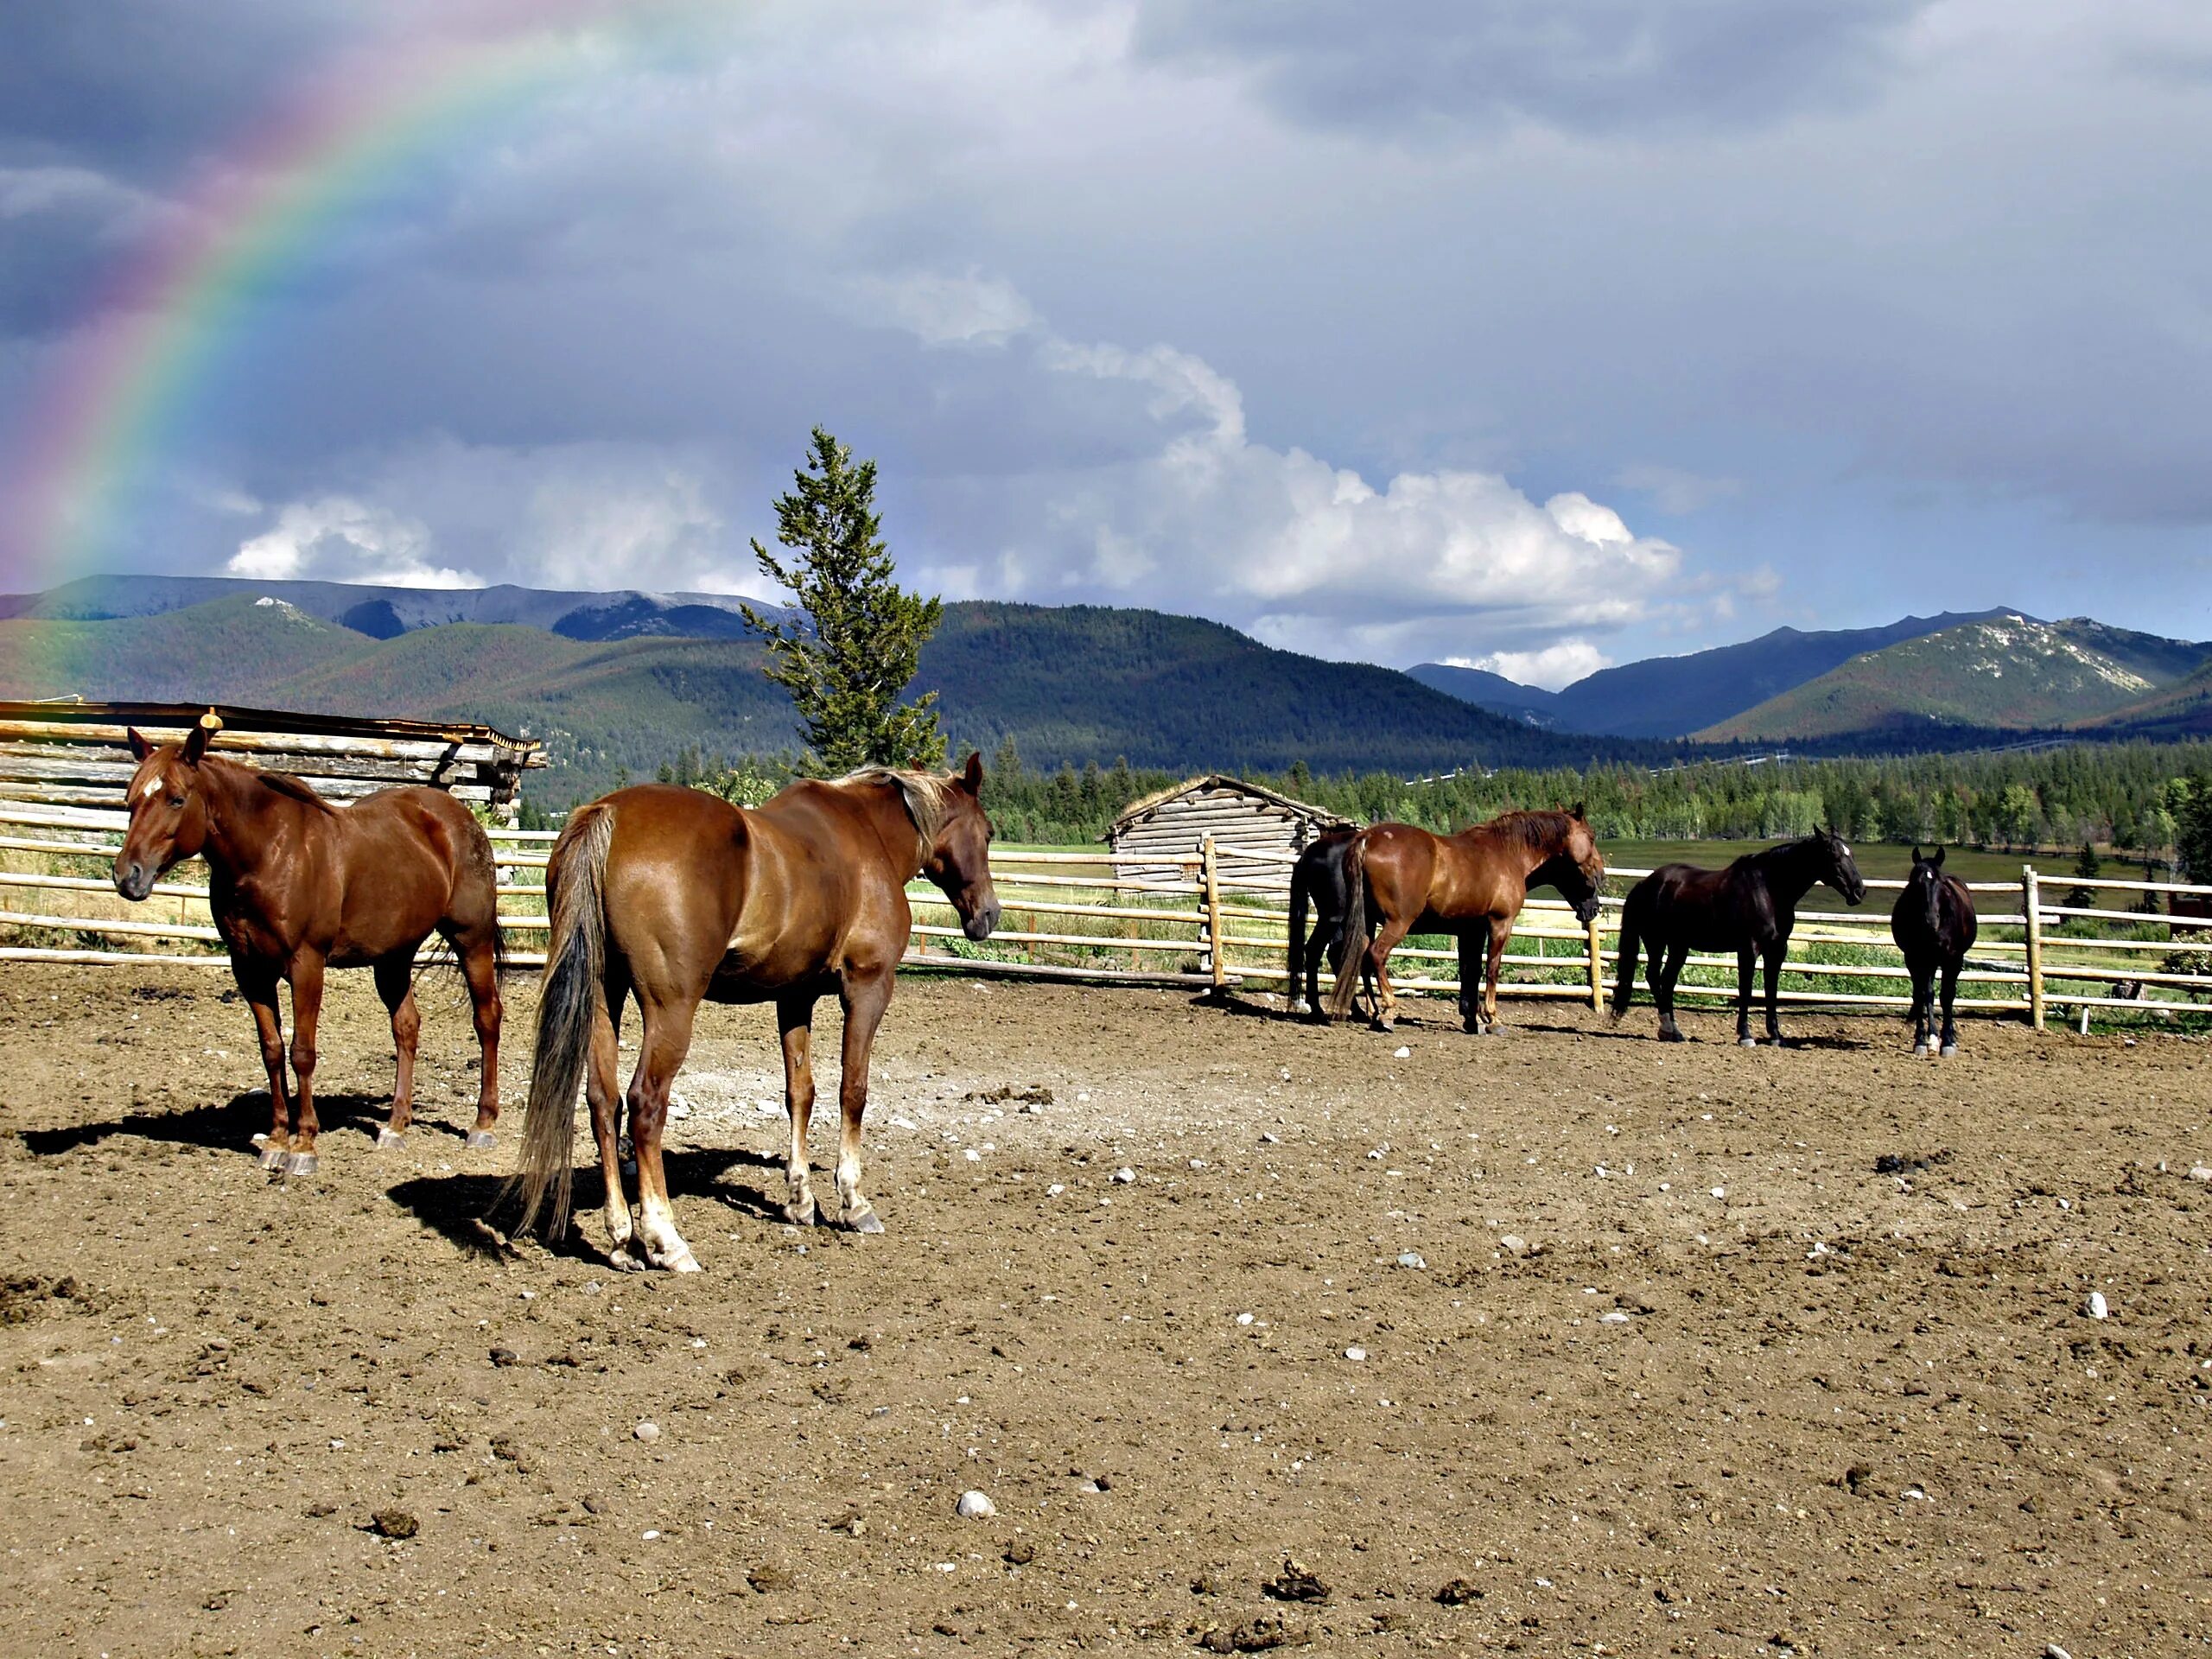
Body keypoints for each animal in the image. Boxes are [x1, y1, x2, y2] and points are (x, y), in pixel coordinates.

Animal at [117, 716, 508, 1185]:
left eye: (176, 799)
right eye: (131, 800)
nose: (128, 876)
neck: (267, 854)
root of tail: (458, 817)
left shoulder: (306, 964)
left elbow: (302, 1052)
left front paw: (304, 1146)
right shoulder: (249, 969)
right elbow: (271, 1050)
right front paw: (275, 1141)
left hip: (472, 940)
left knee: (486, 1019)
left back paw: (483, 1124)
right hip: (394, 956)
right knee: (406, 1027)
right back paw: (395, 1125)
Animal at [1318, 809, 1601, 1035]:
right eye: (1591, 837)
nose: (1595, 906)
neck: (1508, 854)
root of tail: (1367, 839)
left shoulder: (1471, 930)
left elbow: (1470, 971)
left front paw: (1471, 1019)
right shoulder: (1499, 924)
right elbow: (1492, 969)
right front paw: (1492, 1018)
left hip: (1367, 922)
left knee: (1362, 959)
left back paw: (1376, 1013)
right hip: (1397, 922)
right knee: (1376, 955)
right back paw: (1387, 1010)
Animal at [1610, 831, 1866, 1052]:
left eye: (1851, 854)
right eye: (1833, 855)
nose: (1859, 891)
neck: (1769, 890)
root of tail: (1646, 883)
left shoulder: (1777, 951)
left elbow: (1771, 992)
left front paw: (1776, 1037)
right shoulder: (1748, 950)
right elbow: (1746, 991)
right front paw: (1745, 1036)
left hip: (1678, 947)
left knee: (1667, 980)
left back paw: (1673, 1032)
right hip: (1656, 942)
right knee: (1654, 977)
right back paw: (1667, 1028)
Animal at [1893, 849, 1981, 1057]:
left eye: (1940, 884)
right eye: (1915, 883)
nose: (1931, 920)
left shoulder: (1954, 959)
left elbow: (1947, 996)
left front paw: (1948, 1042)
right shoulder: (1914, 959)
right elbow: (1922, 995)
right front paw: (1921, 1040)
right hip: (1929, 961)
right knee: (1928, 994)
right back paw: (1932, 1038)